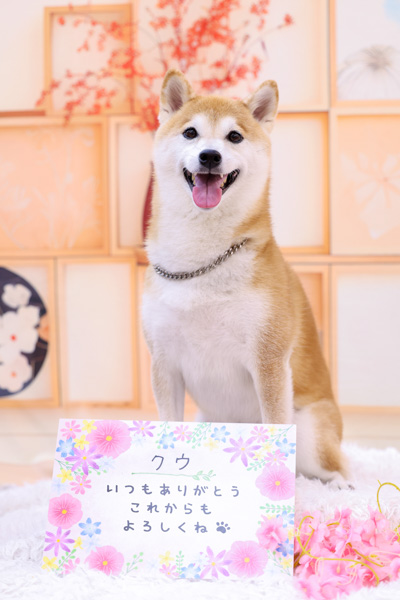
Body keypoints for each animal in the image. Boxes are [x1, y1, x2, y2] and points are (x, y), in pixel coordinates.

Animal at [142, 69, 347, 485]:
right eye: (191, 133)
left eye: (234, 137)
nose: (210, 155)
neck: (202, 261)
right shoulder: (164, 362)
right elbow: (168, 425)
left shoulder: (268, 359)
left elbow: (273, 426)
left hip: (314, 436)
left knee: (339, 470)